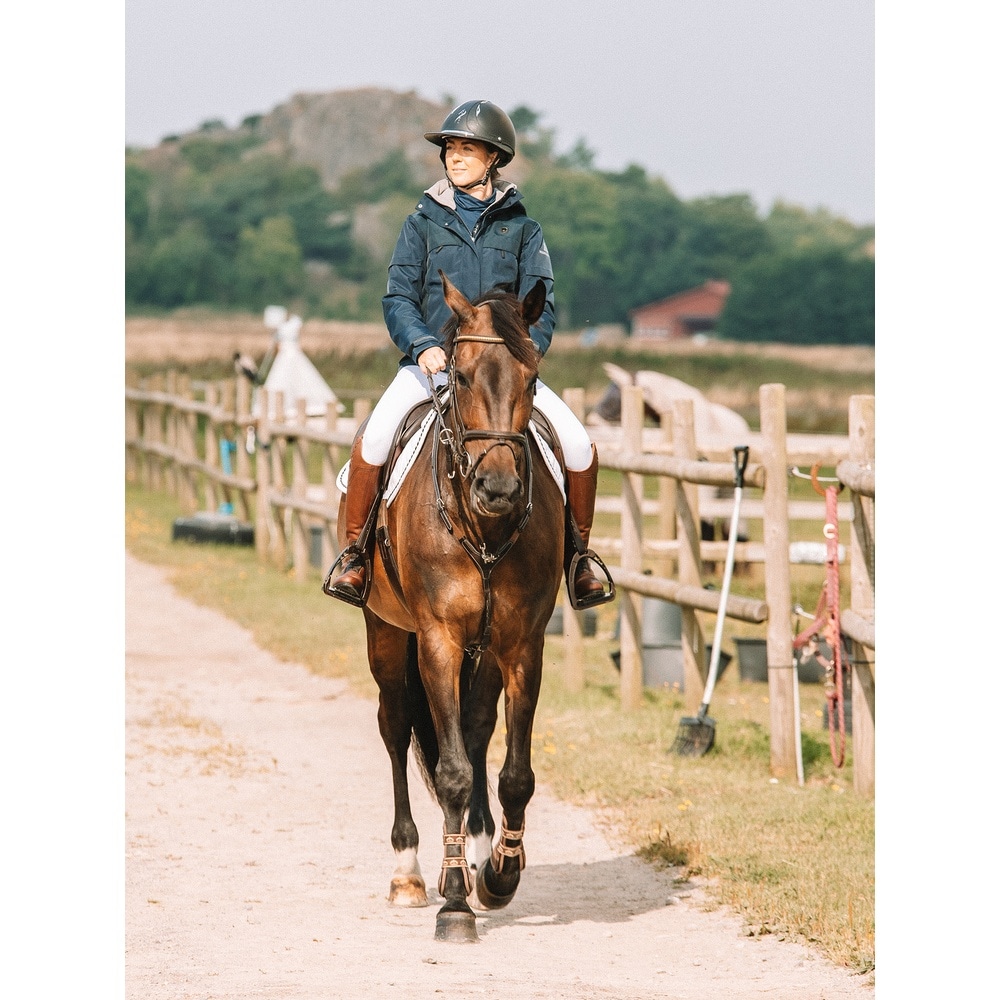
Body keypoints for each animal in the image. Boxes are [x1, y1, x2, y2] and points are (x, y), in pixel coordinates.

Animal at [333, 272, 566, 943]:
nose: (499, 489)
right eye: (458, 376)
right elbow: (453, 770)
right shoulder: (436, 639)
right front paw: (456, 903)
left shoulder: (522, 644)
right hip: (386, 635)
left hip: (481, 651)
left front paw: (499, 873)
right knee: (396, 727)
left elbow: (512, 771)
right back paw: (411, 872)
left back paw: (476, 852)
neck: (483, 529)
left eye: (532, 378)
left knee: (475, 729)